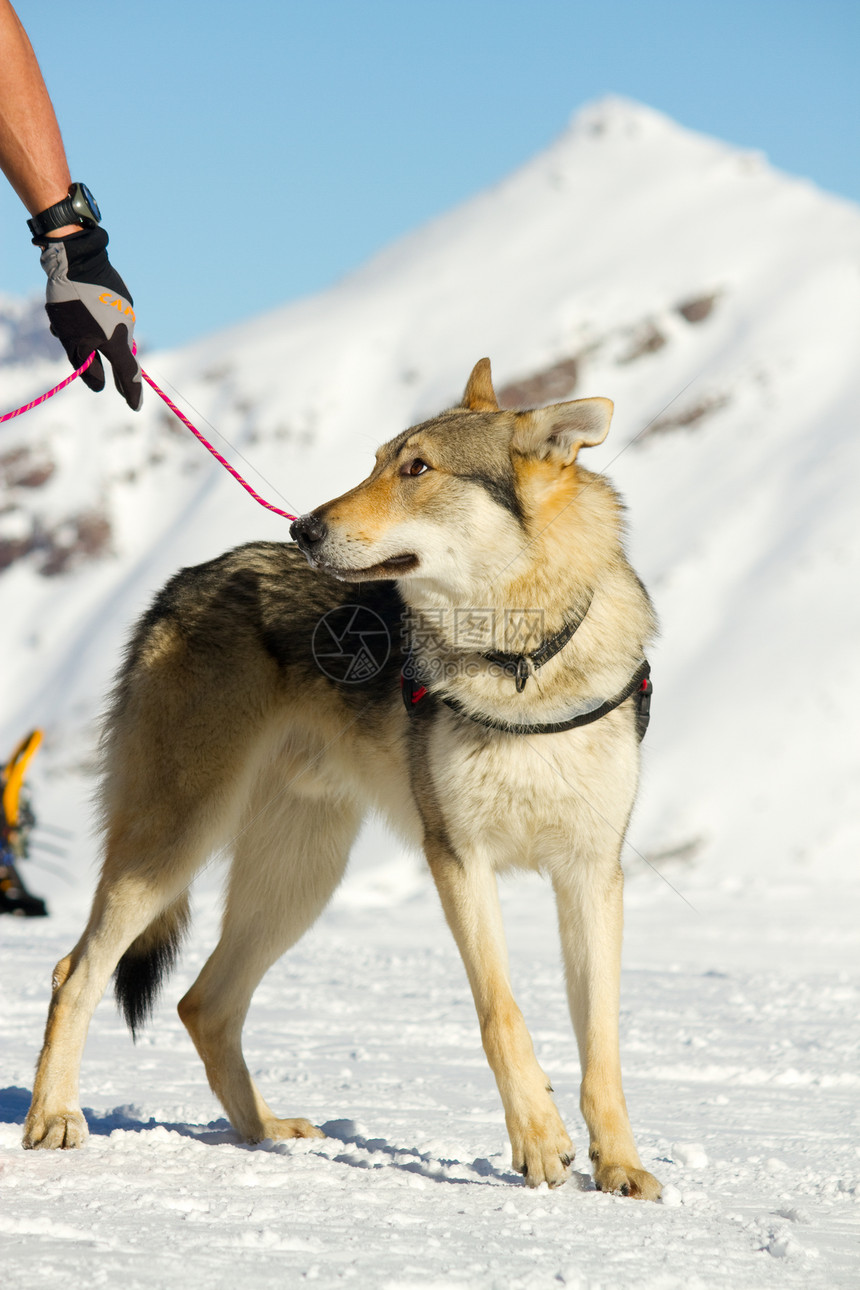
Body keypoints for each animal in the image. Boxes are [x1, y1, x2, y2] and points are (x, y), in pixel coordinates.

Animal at [25, 356, 660, 1197]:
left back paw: (266, 1133)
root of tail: (184, 579)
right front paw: (538, 1143)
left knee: (204, 1004)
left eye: (417, 468)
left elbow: (603, 1046)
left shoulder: (593, 874)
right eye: (377, 461)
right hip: (174, 847)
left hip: (300, 879)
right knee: (75, 973)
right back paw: (53, 1118)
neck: (521, 663)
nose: (305, 529)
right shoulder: (457, 859)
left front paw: (620, 1166)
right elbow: (503, 1016)